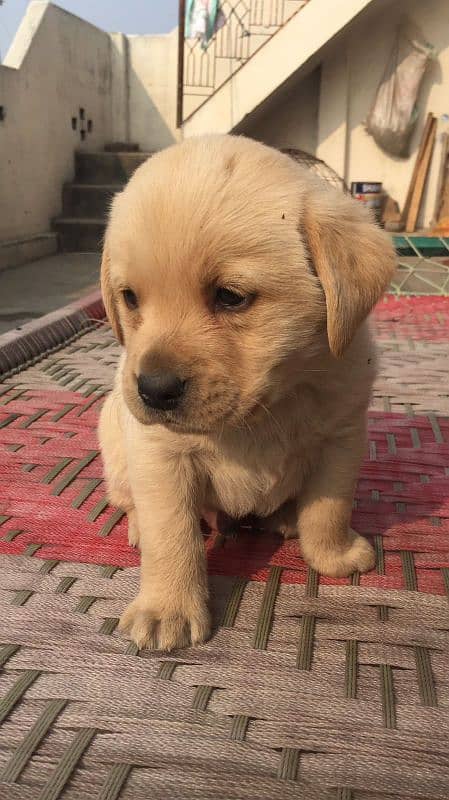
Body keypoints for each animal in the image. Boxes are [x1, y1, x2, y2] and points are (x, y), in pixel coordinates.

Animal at [99, 134, 396, 652]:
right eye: (130, 298)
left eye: (230, 297)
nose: (153, 390)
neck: (264, 409)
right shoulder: (160, 455)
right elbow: (171, 534)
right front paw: (167, 608)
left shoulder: (342, 438)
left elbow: (329, 506)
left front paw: (332, 554)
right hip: (113, 438)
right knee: (132, 502)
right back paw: (136, 525)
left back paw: (285, 517)